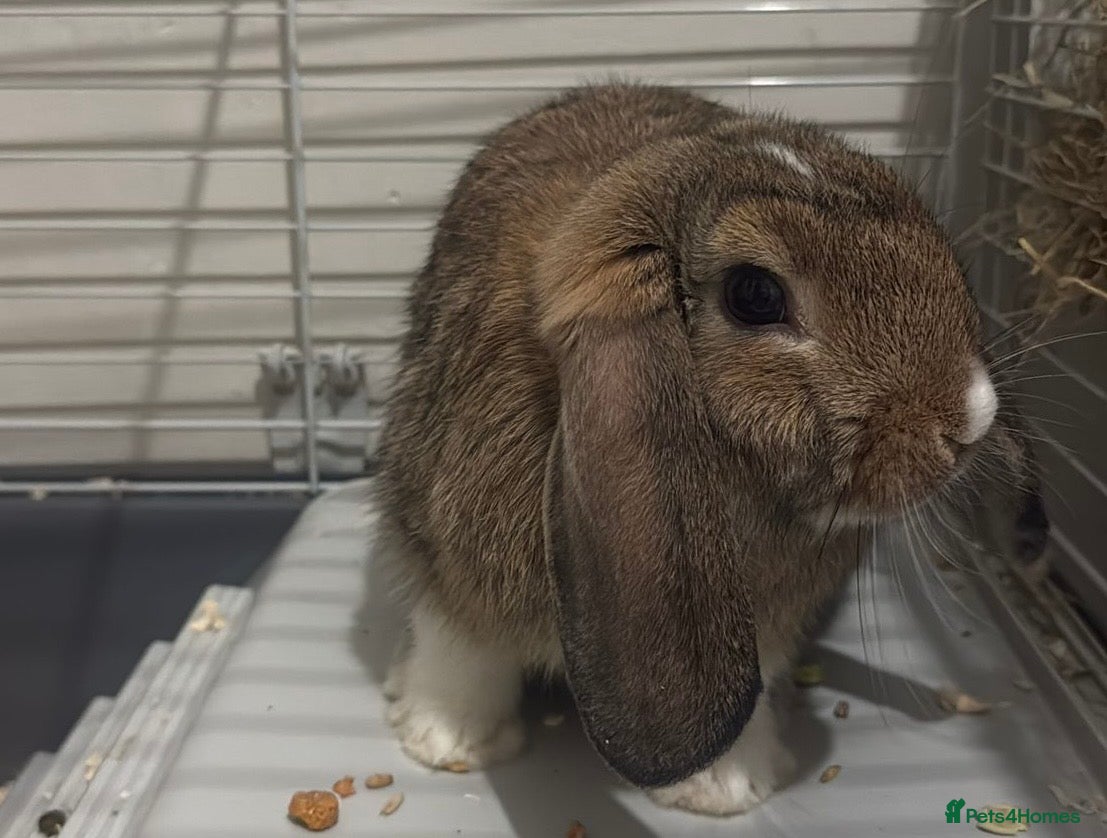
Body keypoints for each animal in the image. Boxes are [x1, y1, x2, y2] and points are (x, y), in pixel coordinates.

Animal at [373, 83, 1047, 816]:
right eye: (755, 294)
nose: (971, 418)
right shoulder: (443, 557)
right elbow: (461, 649)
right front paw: (447, 739)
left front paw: (728, 789)